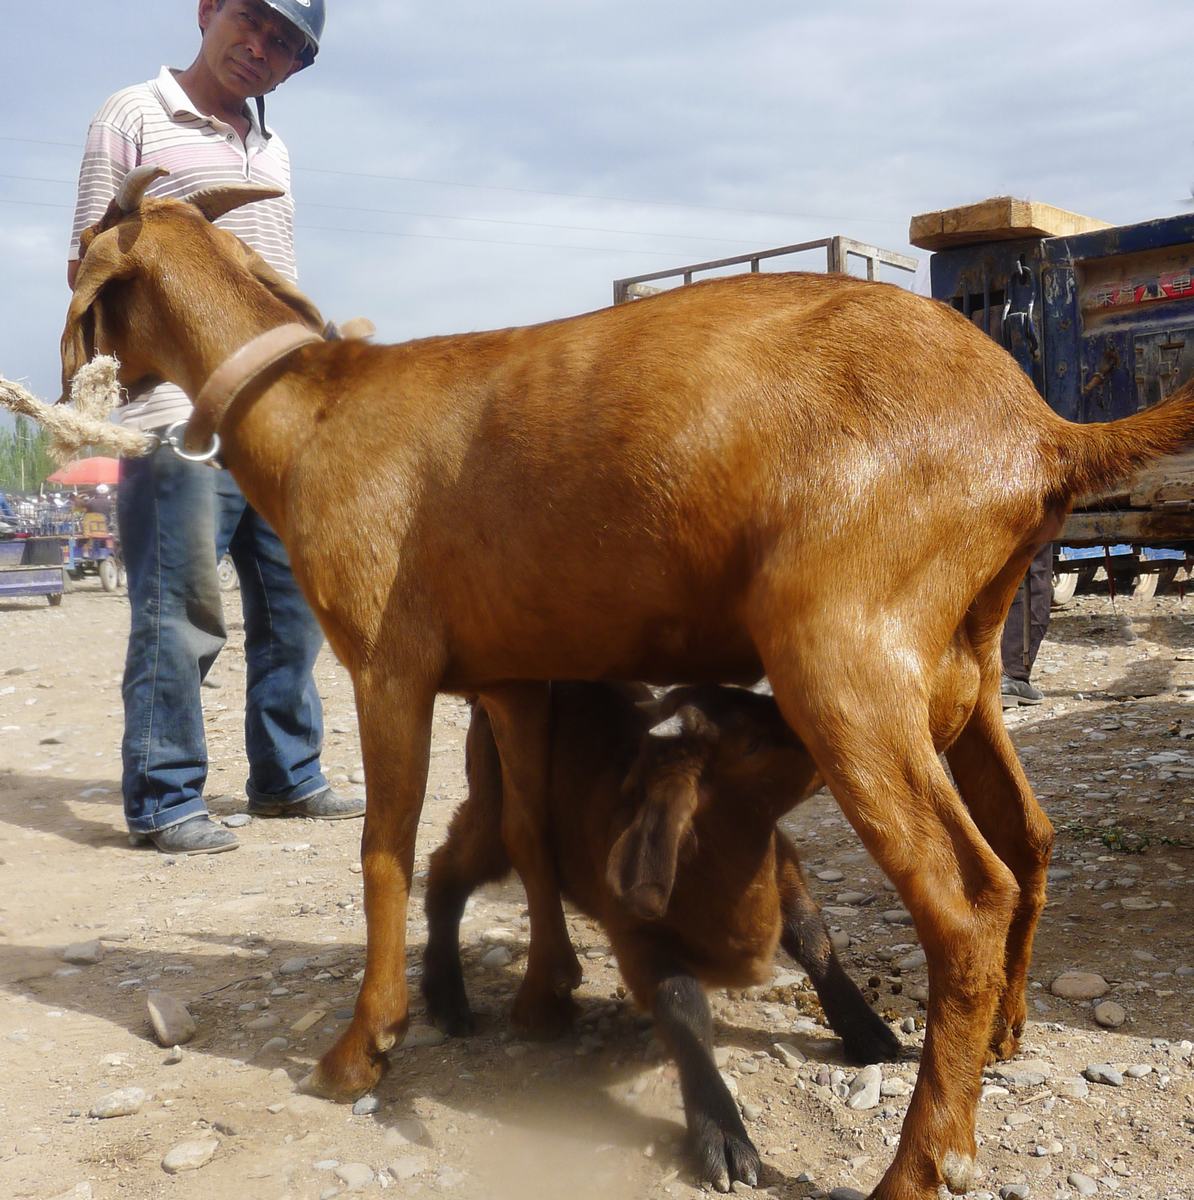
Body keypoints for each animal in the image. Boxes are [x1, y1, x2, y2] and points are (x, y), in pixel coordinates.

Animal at [424, 681, 902, 1195]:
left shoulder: (781, 861)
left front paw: (867, 1030)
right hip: (492, 812)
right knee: (446, 870)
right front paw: (722, 1135)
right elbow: (682, 1006)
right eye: (751, 744)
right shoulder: (637, 937)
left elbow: (812, 939)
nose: (835, 737)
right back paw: (446, 998)